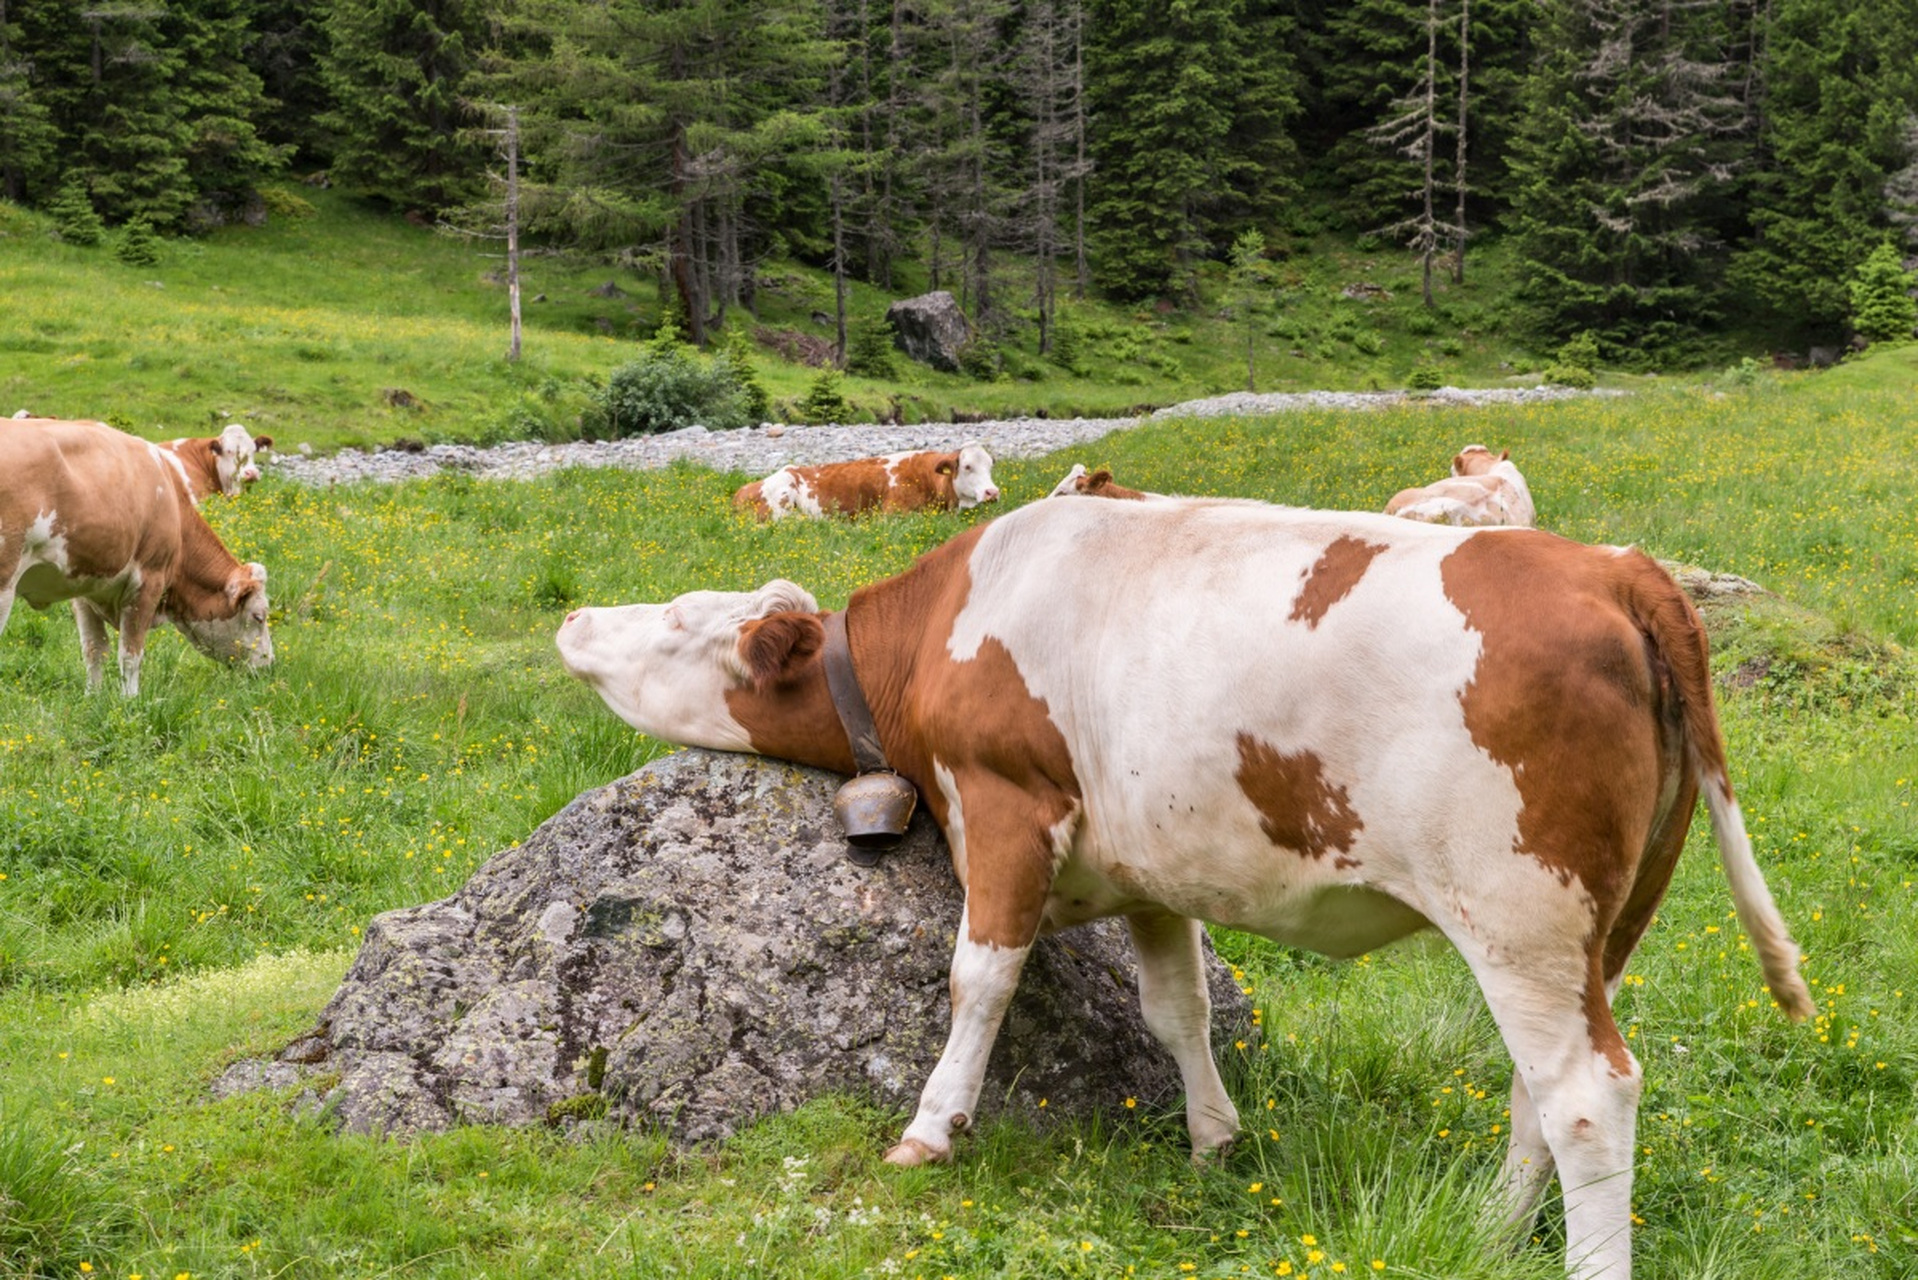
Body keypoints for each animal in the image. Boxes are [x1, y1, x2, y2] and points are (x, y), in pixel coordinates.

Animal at [0, 416, 278, 690]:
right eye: (259, 616)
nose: (269, 664)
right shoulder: (148, 581)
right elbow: (131, 655)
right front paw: (130, 700)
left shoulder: (83, 588)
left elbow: (94, 650)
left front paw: (94, 696)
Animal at [560, 495, 1810, 1280]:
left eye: (681, 624)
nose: (573, 615)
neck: (941, 635)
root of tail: (1611, 564)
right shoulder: (1148, 862)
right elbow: (1177, 1007)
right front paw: (1214, 1139)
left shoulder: (1006, 809)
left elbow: (977, 979)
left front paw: (929, 1128)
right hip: (1595, 924)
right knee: (1535, 1085)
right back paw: (1491, 1228)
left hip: (1518, 907)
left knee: (1589, 1092)